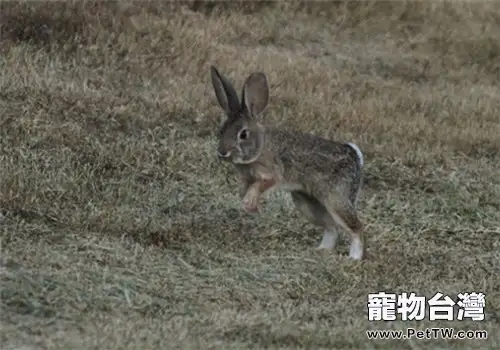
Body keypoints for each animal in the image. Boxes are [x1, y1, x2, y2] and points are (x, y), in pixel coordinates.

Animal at [209, 65, 366, 260]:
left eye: (243, 134)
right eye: (222, 130)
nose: (222, 152)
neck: (261, 145)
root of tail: (355, 156)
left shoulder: (273, 171)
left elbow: (262, 185)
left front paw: (249, 204)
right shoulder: (248, 177)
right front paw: (249, 205)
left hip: (336, 199)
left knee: (356, 228)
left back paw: (354, 258)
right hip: (308, 204)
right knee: (332, 227)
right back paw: (321, 250)